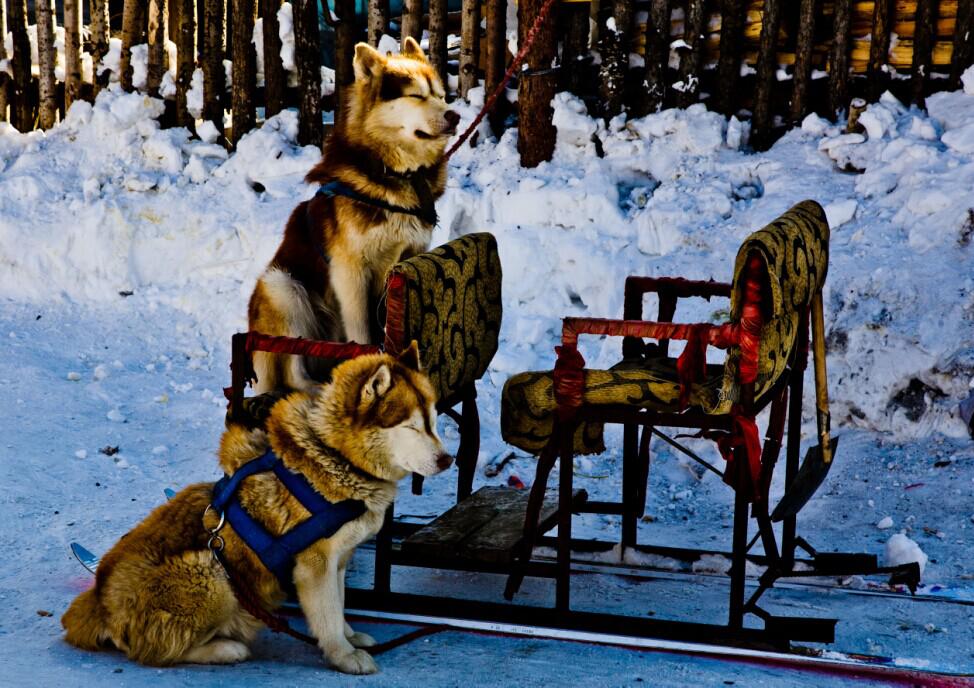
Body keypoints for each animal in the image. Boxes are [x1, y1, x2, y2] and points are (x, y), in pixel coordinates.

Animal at [63, 344, 452, 672]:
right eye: (411, 426)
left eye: (433, 421)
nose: (447, 460)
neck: (337, 456)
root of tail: (98, 600)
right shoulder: (315, 565)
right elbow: (327, 616)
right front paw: (343, 655)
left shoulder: (339, 559)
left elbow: (339, 605)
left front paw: (350, 635)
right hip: (211, 573)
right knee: (156, 651)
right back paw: (225, 648)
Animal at [248, 37, 462, 392]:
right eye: (416, 95)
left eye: (441, 95)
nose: (455, 115)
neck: (395, 172)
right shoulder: (350, 274)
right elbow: (362, 334)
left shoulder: (410, 256)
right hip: (284, 286)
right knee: (293, 371)